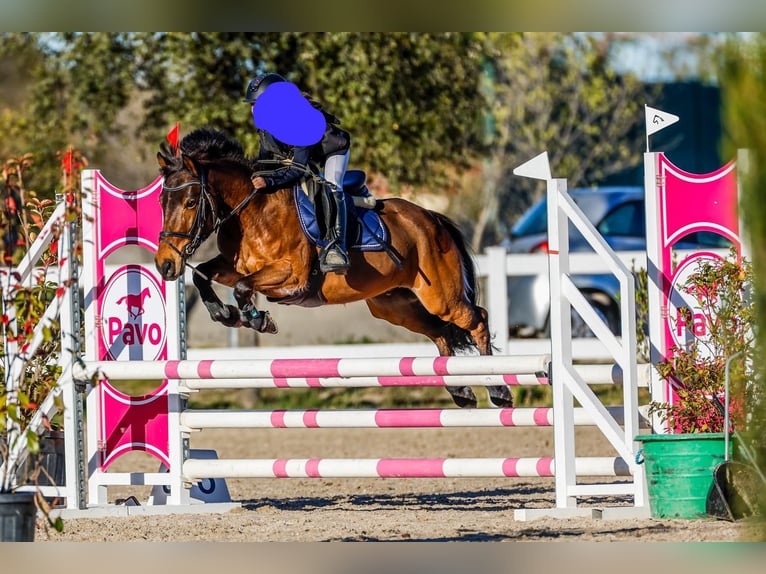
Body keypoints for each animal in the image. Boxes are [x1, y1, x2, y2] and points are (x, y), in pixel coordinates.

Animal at [154, 127, 512, 409]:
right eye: (161, 203)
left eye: (190, 202)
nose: (166, 265)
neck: (254, 210)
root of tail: (432, 218)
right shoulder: (233, 265)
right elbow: (204, 276)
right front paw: (226, 314)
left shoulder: (291, 276)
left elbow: (243, 287)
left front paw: (257, 319)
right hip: (395, 305)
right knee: (439, 332)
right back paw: (461, 390)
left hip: (440, 296)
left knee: (477, 320)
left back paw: (498, 390)